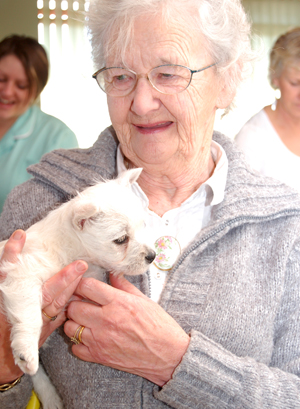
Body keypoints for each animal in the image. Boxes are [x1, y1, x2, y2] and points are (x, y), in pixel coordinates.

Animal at [0, 167, 156, 408]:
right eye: (121, 239)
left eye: (143, 226)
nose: (152, 256)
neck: (68, 249)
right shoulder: (22, 275)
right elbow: (30, 316)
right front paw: (26, 351)